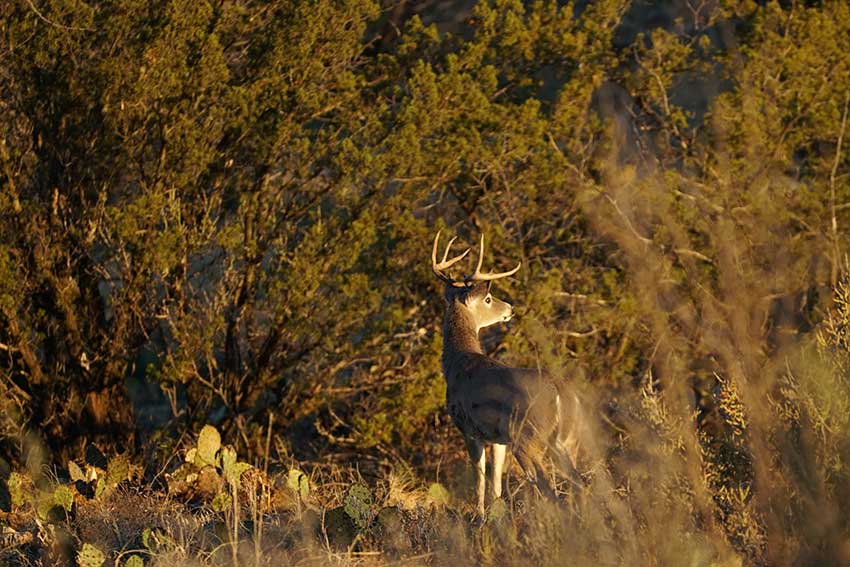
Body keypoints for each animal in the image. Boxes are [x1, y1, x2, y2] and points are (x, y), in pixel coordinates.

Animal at [430, 232, 584, 520]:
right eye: (489, 299)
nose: (511, 308)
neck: (458, 361)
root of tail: (561, 392)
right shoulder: (498, 438)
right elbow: (497, 484)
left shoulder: (469, 428)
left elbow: (479, 479)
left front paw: (479, 516)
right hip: (567, 440)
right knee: (580, 483)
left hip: (528, 438)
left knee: (549, 488)